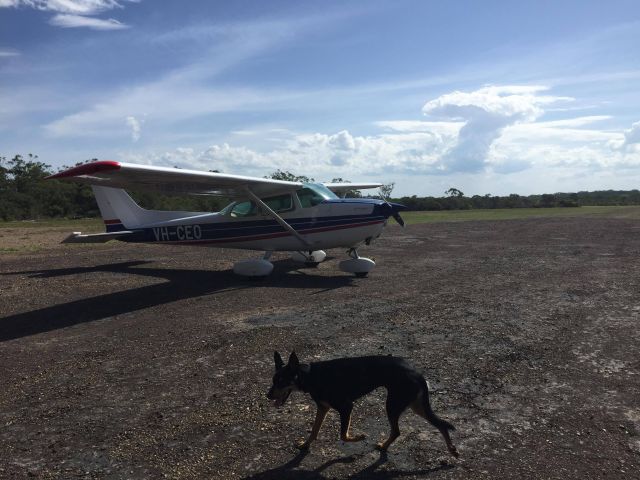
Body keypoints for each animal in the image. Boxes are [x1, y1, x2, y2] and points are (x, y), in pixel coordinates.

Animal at [268, 350, 458, 456]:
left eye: (281, 381)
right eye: (273, 380)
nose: (268, 395)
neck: (310, 376)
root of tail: (417, 372)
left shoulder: (346, 407)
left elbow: (343, 435)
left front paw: (359, 437)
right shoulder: (323, 408)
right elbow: (314, 430)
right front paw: (305, 445)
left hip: (393, 404)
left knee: (397, 431)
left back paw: (383, 446)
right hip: (415, 405)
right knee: (440, 424)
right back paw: (451, 449)